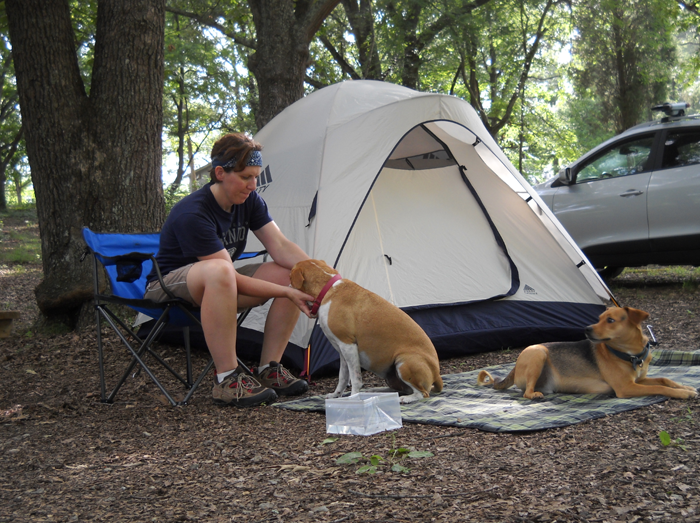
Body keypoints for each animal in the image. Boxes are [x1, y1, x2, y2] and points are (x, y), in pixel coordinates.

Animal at [290, 260, 442, 404]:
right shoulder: (342, 351)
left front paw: (353, 397)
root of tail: (437, 374)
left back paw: (407, 399)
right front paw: (336, 395)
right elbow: (342, 377)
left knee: (423, 393)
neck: (328, 289)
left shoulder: (348, 346)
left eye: (290, 276)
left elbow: (355, 379)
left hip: (404, 362)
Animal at [478, 308, 696, 402]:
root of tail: (515, 366)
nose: (586, 329)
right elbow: (660, 387)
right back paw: (535, 395)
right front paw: (683, 393)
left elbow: (664, 379)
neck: (630, 354)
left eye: (610, 320)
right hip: (538, 353)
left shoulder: (638, 381)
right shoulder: (626, 388)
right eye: (598, 318)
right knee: (526, 392)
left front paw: (685, 387)